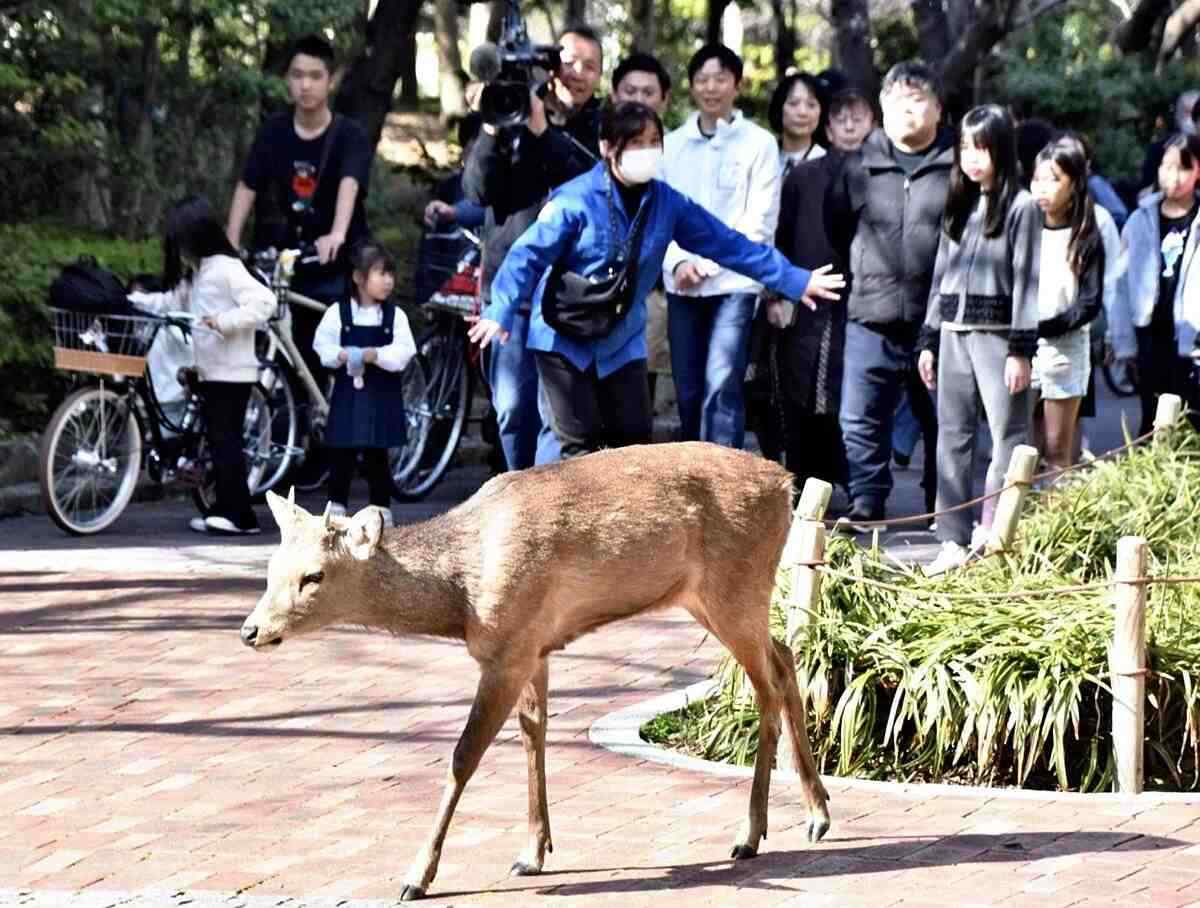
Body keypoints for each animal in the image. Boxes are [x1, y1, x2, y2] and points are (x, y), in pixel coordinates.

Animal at [240, 441, 831, 901]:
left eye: (313, 576)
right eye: (270, 569)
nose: (250, 630)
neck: (461, 595)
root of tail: (785, 482)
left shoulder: (508, 651)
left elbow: (464, 755)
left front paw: (417, 876)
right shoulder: (535, 646)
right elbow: (534, 734)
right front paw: (532, 851)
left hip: (735, 585)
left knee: (769, 682)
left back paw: (757, 832)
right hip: (715, 598)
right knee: (787, 656)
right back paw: (813, 813)